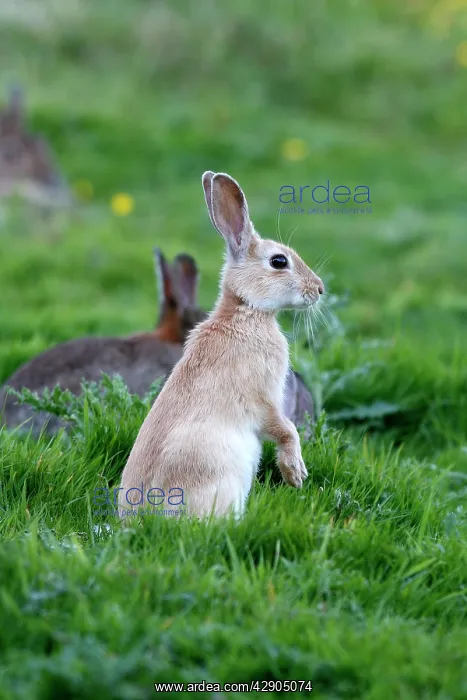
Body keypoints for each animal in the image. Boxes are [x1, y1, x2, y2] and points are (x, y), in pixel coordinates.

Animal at [119, 171, 324, 520]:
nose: (319, 289)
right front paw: (295, 473)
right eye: (279, 261)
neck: (245, 310)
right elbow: (285, 429)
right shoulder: (263, 397)